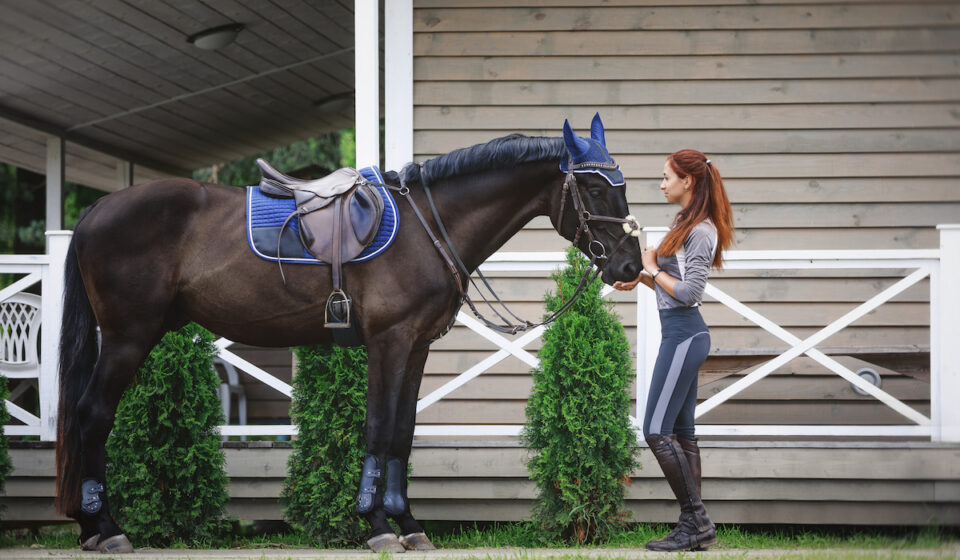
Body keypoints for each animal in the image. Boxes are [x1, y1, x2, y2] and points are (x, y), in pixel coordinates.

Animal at [55, 114, 643, 553]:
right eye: (594, 187)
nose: (630, 266)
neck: (429, 229)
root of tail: (95, 211)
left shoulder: (415, 347)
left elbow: (402, 433)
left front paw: (408, 524)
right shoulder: (389, 342)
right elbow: (379, 429)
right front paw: (377, 525)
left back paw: (91, 527)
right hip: (129, 336)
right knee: (92, 414)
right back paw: (105, 528)